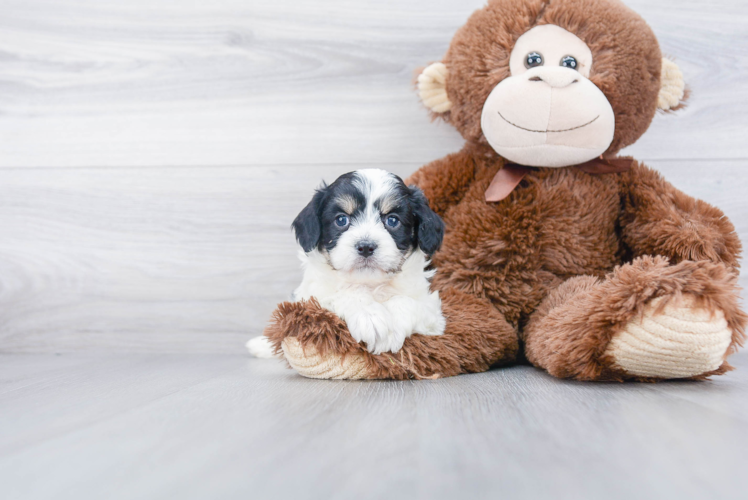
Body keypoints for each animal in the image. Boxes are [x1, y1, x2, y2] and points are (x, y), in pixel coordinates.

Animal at [247, 170, 444, 358]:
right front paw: (370, 317)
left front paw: (392, 329)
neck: (370, 285)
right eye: (341, 220)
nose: (366, 247)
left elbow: (406, 301)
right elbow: (345, 293)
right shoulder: (312, 300)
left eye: (392, 220)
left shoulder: (433, 312)